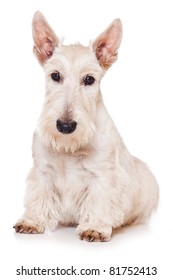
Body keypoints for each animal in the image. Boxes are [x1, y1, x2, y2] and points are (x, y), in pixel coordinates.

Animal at [14, 12, 159, 242]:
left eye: (89, 79)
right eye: (55, 75)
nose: (65, 125)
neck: (69, 146)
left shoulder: (102, 176)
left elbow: (99, 201)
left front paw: (95, 227)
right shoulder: (43, 171)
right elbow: (39, 197)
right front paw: (32, 221)